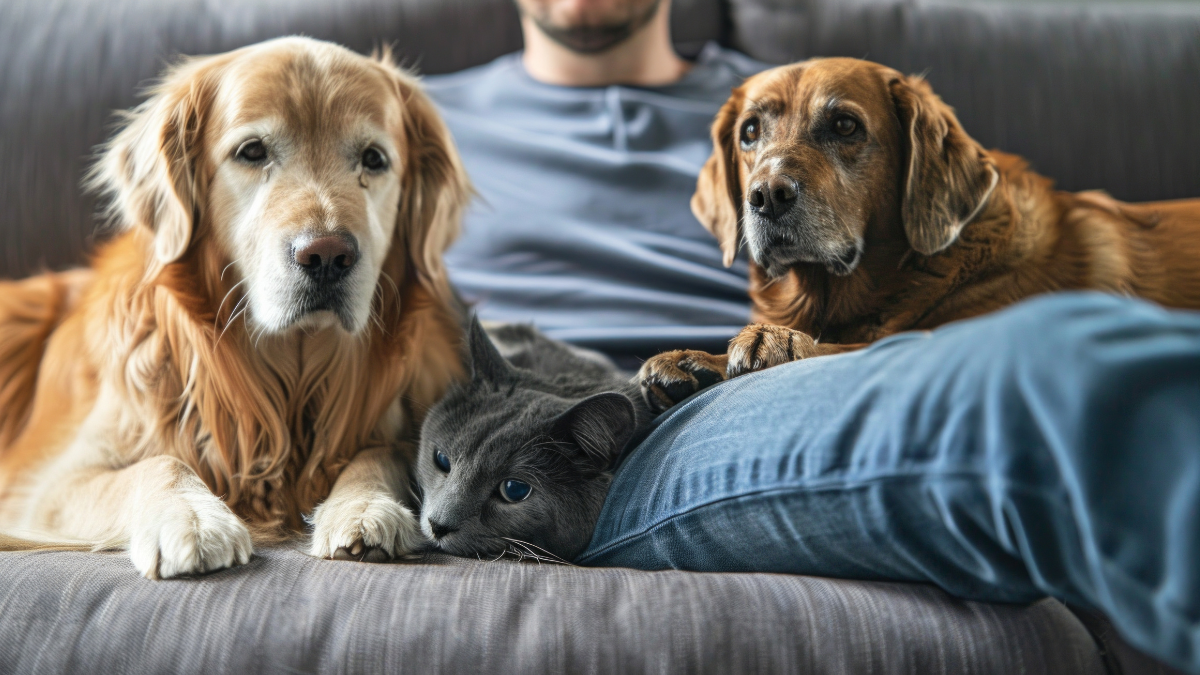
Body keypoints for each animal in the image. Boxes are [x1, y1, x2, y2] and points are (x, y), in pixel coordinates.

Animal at [0, 36, 468, 576]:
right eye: (252, 151)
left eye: (373, 159)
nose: (328, 256)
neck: (289, 380)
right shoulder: (48, 487)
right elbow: (158, 463)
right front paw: (192, 518)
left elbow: (383, 451)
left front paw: (366, 506)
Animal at [638, 59, 1200, 410]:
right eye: (750, 132)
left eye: (845, 126)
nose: (768, 196)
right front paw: (696, 360)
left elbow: (855, 347)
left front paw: (764, 344)